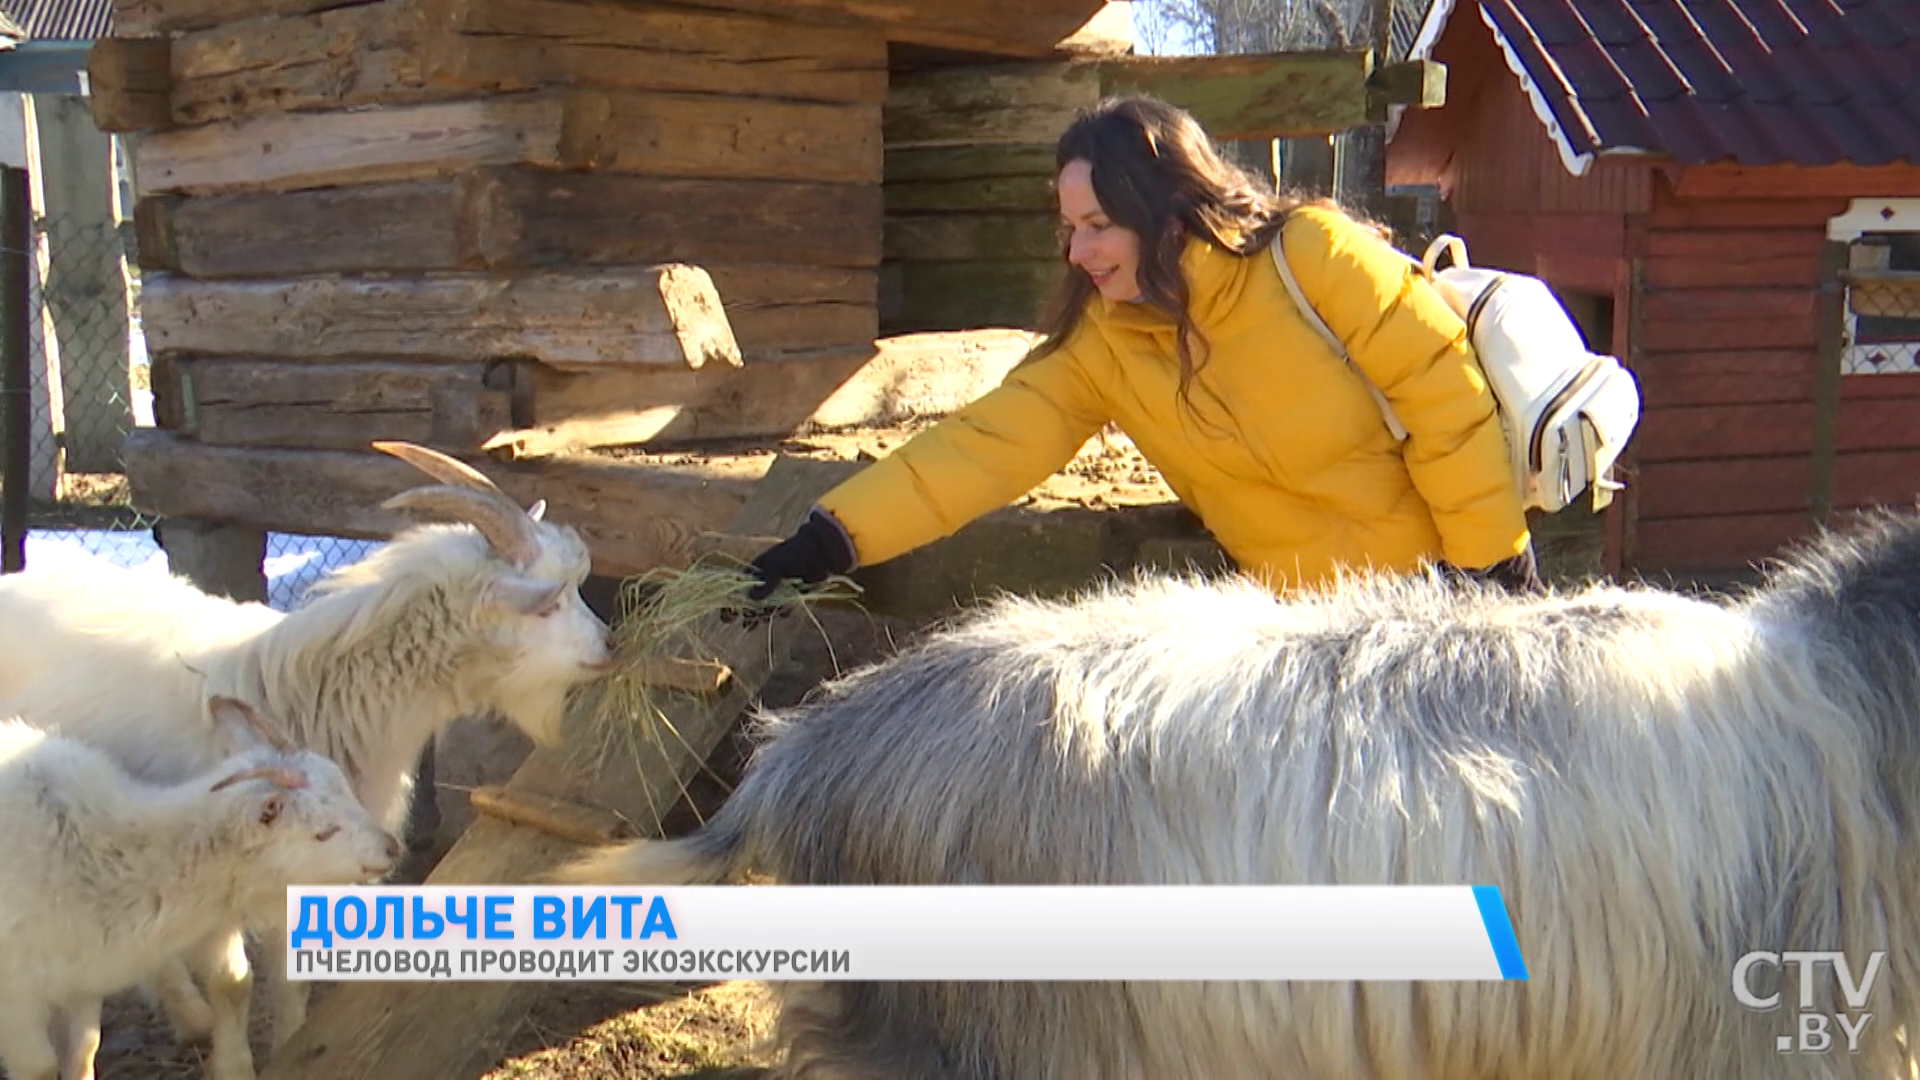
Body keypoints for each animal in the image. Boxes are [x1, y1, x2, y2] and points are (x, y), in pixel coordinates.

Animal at [0, 441, 614, 1060]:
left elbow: (292, 978)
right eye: (546, 606)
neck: (314, 692)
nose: (610, 645)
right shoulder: (215, 859)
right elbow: (234, 982)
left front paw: (291, 1045)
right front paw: (236, 1064)